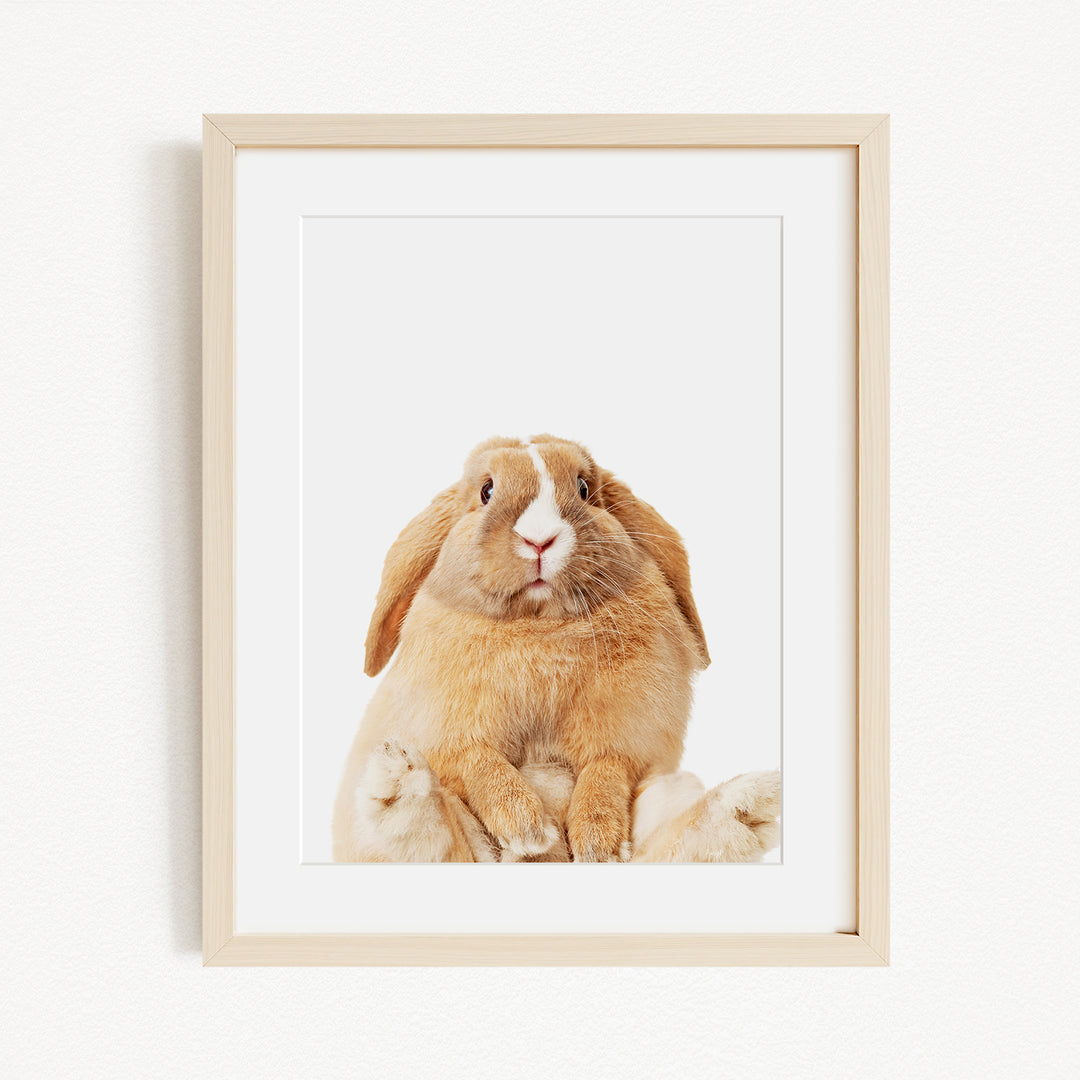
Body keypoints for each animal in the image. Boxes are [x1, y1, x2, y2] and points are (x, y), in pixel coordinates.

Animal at [332, 433, 767, 863]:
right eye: (487, 491)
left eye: (584, 488)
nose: (539, 539)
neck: (540, 625)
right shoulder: (449, 731)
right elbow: (481, 762)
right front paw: (528, 829)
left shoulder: (628, 736)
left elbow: (605, 770)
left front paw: (597, 843)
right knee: (439, 838)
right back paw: (398, 780)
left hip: (666, 792)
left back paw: (748, 805)